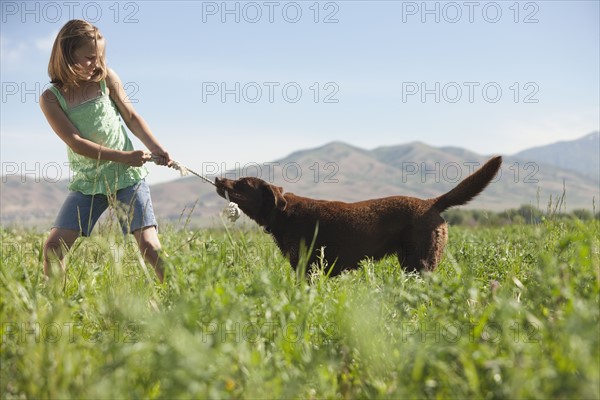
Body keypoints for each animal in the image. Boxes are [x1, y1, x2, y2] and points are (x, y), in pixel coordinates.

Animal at [216, 155, 502, 276]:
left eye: (242, 184)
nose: (218, 178)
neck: (283, 214)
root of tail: (432, 203)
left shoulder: (308, 269)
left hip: (421, 263)